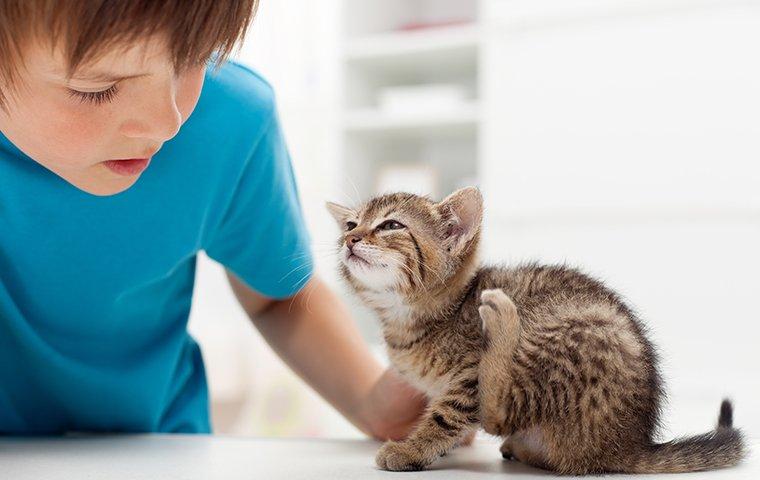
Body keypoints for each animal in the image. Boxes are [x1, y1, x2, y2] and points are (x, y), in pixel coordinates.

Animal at [324, 187, 744, 472]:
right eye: (351, 224)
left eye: (391, 225)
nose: (350, 238)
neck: (409, 317)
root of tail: (628, 444)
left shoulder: (467, 378)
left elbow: (449, 415)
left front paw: (412, 449)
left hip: (564, 329)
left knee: (500, 413)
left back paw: (503, 318)